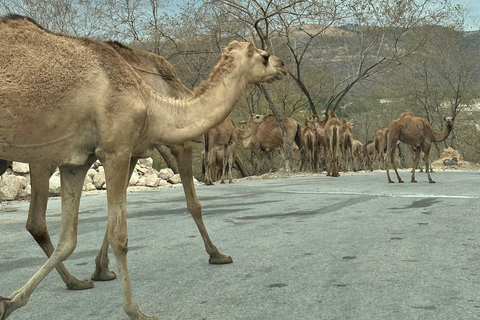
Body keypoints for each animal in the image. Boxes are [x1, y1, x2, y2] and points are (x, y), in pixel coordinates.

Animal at [0, 14, 284, 320]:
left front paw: (11, 301)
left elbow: (70, 240)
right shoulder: (118, 149)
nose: (282, 65)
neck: (153, 102)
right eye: (264, 56)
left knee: (42, 225)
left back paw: (75, 281)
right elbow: (123, 233)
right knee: (38, 221)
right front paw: (136, 309)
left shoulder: (78, 162)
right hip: (39, 156)